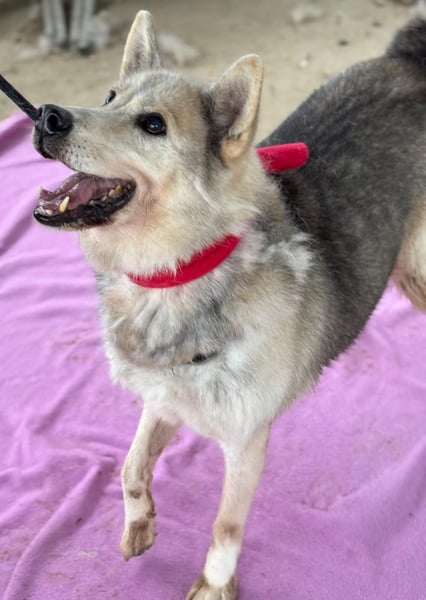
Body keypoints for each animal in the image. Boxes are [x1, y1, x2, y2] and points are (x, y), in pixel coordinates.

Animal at [32, 10, 426, 599]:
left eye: (154, 125)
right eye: (109, 97)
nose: (47, 116)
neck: (178, 272)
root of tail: (407, 61)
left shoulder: (246, 440)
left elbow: (226, 523)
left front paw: (215, 584)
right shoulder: (164, 397)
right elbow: (130, 468)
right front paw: (139, 523)